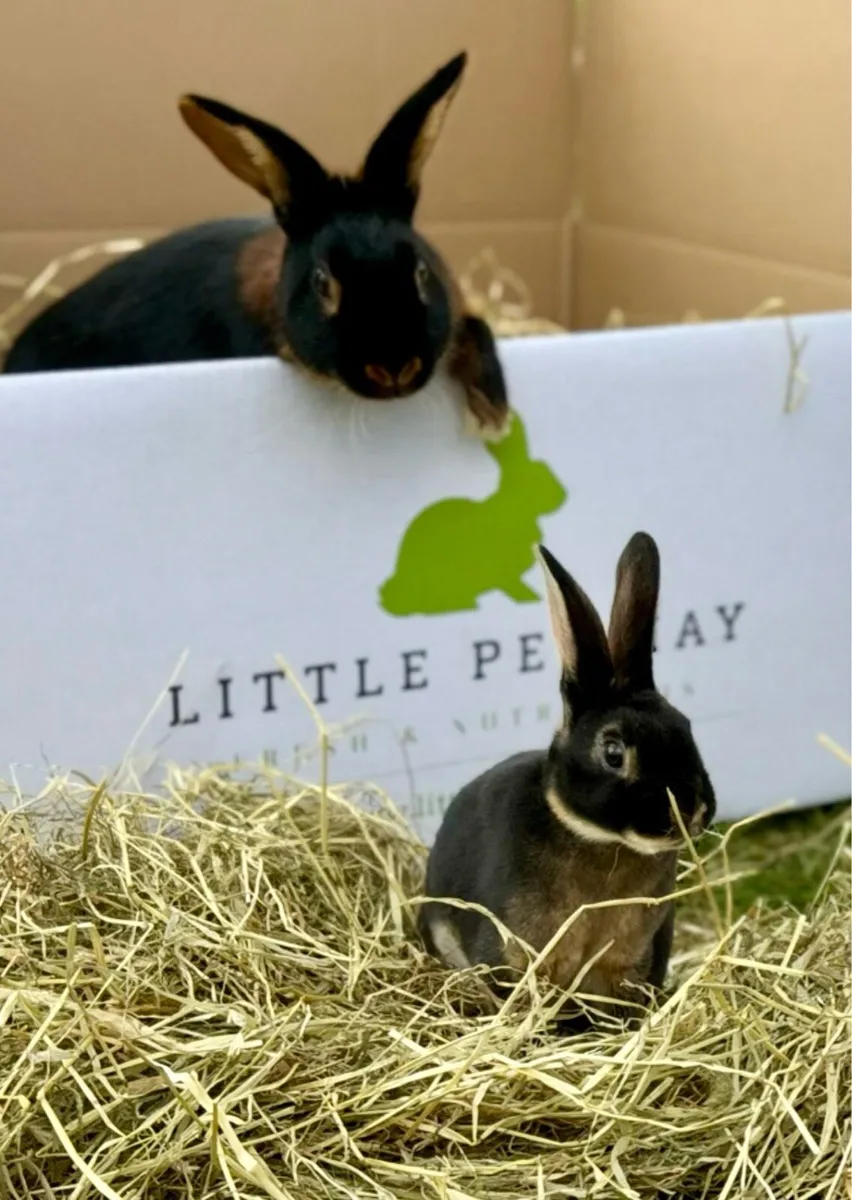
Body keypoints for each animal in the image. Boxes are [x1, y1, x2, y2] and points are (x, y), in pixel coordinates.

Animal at [379, 410, 566, 615]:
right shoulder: (501, 570)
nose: (563, 495)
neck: (515, 506)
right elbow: (509, 584)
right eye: (537, 477)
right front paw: (530, 597)